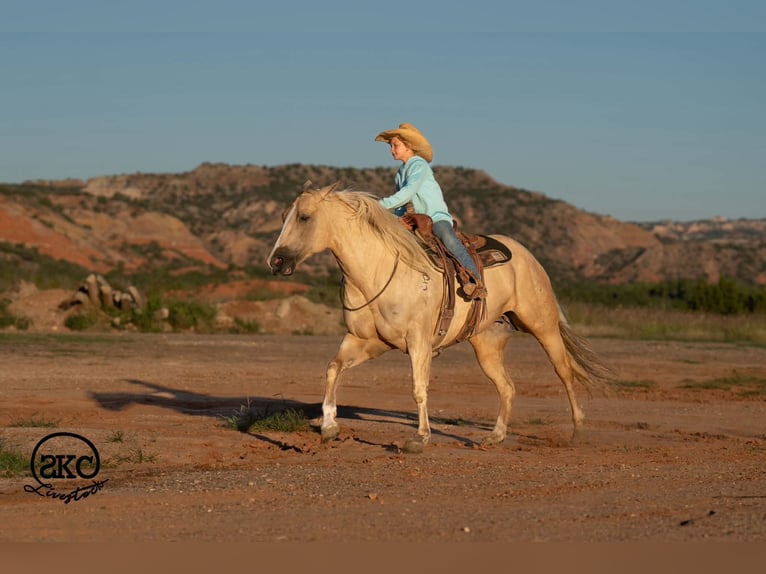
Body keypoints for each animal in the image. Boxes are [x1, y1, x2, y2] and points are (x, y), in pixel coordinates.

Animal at [268, 182, 612, 449]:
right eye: (285, 217)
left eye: (304, 217)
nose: (276, 261)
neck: (378, 270)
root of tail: (527, 256)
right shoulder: (366, 341)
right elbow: (333, 369)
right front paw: (329, 426)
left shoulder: (419, 342)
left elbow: (419, 387)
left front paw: (420, 438)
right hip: (487, 344)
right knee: (507, 387)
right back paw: (496, 437)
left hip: (544, 327)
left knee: (564, 372)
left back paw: (577, 431)